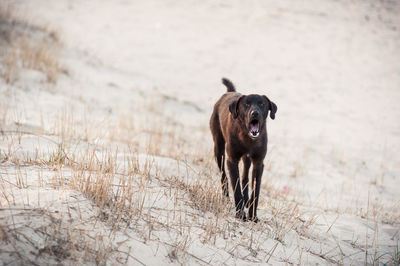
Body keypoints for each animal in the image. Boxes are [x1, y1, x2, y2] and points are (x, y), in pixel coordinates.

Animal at [209, 77, 278, 222]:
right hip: (218, 149)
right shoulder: (232, 160)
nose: (255, 113)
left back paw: (246, 200)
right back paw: (226, 197)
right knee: (223, 175)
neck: (248, 138)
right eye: (246, 104)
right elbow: (236, 189)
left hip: (247, 159)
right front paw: (240, 214)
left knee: (245, 175)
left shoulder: (258, 163)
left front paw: (253, 216)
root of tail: (229, 92)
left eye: (262, 104)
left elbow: (255, 191)